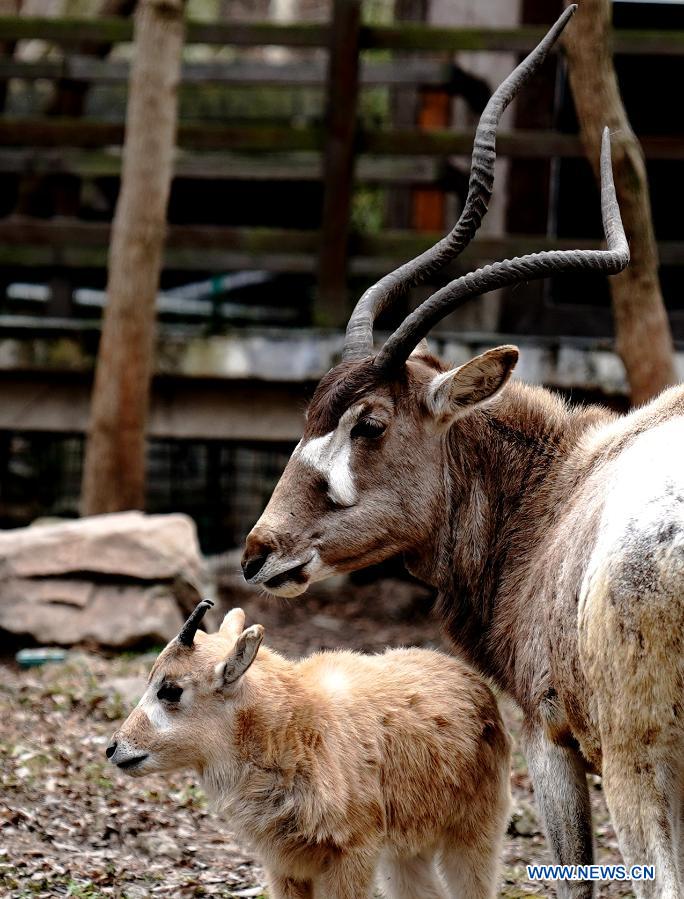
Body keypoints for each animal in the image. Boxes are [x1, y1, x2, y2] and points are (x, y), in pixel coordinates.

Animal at [107, 596, 510, 899]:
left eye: (170, 690)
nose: (114, 748)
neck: (296, 730)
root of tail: (472, 682)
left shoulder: (352, 856)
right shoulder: (284, 866)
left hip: (473, 833)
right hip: (407, 852)